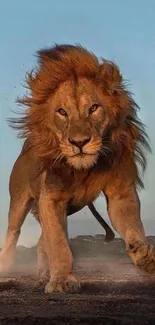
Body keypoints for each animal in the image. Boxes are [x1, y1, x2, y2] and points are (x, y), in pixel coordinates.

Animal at [0, 43, 155, 294]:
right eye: (62, 112)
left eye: (93, 108)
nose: (79, 142)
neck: (83, 170)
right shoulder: (51, 197)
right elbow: (59, 244)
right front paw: (62, 280)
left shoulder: (121, 192)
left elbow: (133, 226)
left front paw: (143, 254)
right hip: (20, 200)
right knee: (14, 232)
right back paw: (6, 265)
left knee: (42, 240)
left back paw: (44, 272)